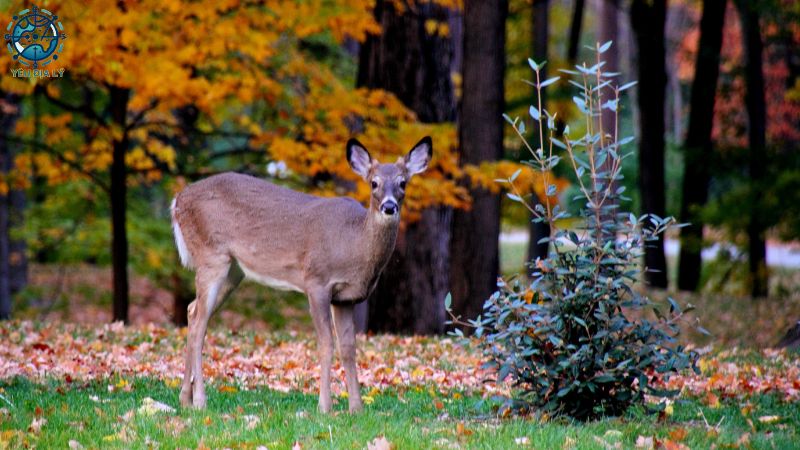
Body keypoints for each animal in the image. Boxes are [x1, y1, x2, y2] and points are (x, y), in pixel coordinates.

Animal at [170, 135, 432, 414]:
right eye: (374, 183)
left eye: (403, 182)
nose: (389, 206)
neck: (354, 244)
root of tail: (177, 200)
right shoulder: (316, 281)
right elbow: (326, 344)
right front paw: (325, 406)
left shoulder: (346, 298)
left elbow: (349, 347)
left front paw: (356, 408)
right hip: (211, 255)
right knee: (199, 323)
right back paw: (200, 401)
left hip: (234, 270)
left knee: (192, 310)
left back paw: (185, 399)